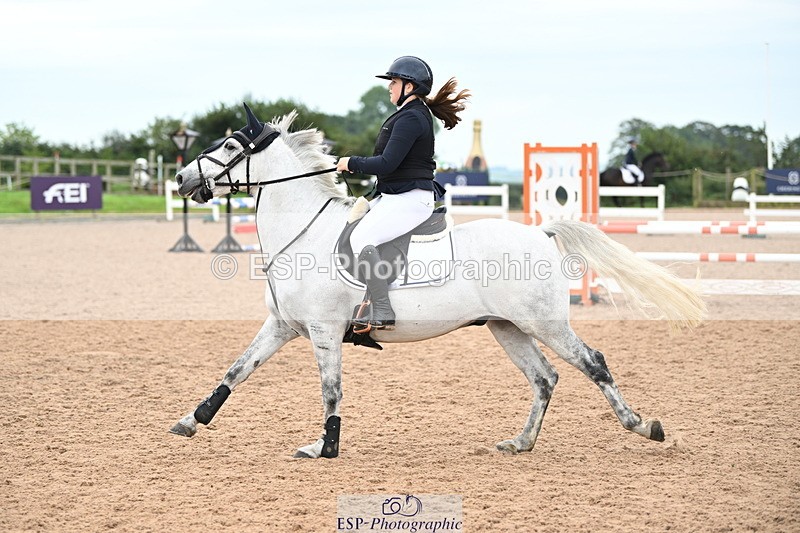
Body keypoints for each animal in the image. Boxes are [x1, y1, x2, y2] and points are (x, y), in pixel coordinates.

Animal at [169, 104, 705, 459]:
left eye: (231, 146)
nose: (179, 180)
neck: (304, 229)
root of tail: (540, 231)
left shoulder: (324, 331)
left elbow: (331, 390)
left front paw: (326, 447)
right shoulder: (282, 326)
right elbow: (235, 372)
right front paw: (190, 421)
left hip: (545, 322)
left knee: (592, 363)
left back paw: (643, 426)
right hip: (507, 327)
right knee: (545, 378)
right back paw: (521, 442)